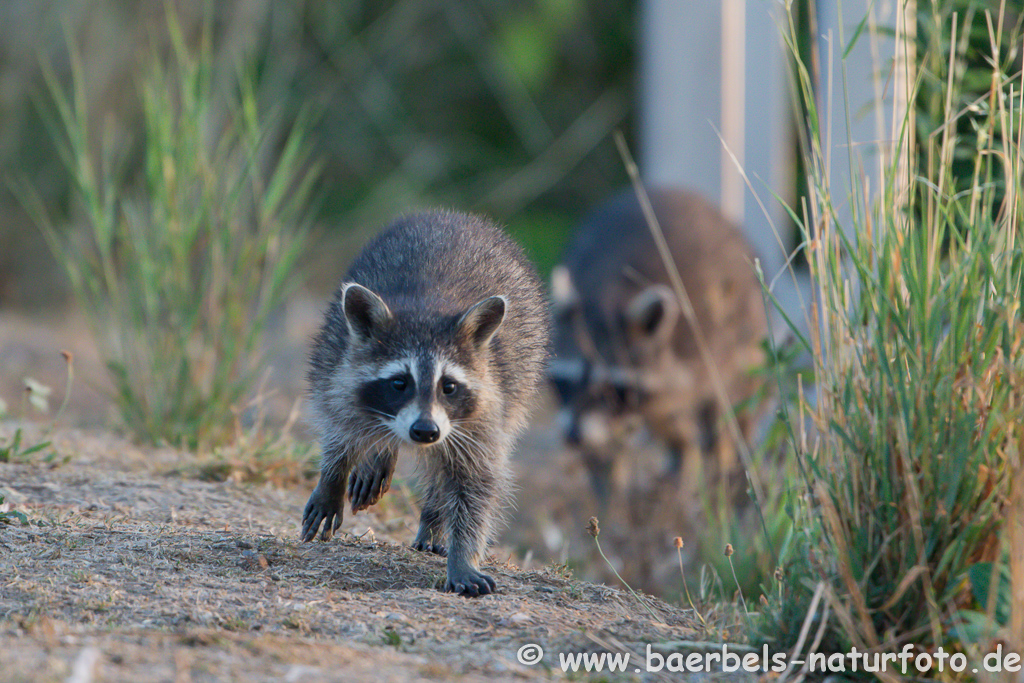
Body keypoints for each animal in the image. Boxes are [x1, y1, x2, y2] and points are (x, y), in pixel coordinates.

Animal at [299, 210, 548, 593]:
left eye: (449, 386)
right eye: (399, 383)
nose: (425, 431)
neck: (427, 308)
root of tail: (455, 216)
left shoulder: (485, 413)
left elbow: (475, 484)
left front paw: (463, 556)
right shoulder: (336, 365)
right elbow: (340, 427)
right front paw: (333, 476)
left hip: (522, 372)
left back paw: (433, 519)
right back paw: (380, 456)